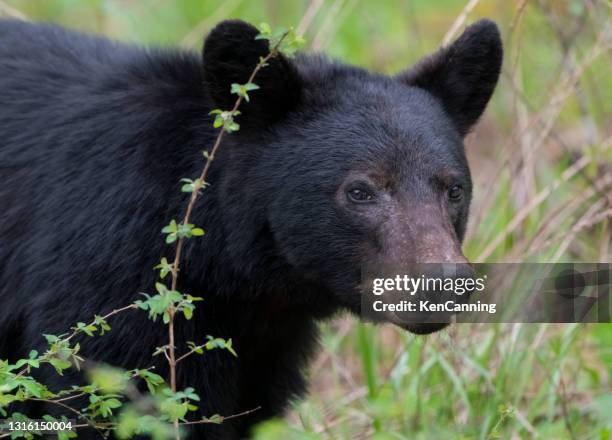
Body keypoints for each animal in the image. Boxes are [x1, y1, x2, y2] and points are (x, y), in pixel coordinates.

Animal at [0, 18, 502, 440]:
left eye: (454, 189)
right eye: (360, 191)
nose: (445, 282)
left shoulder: (264, 348)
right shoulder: (111, 267)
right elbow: (114, 391)